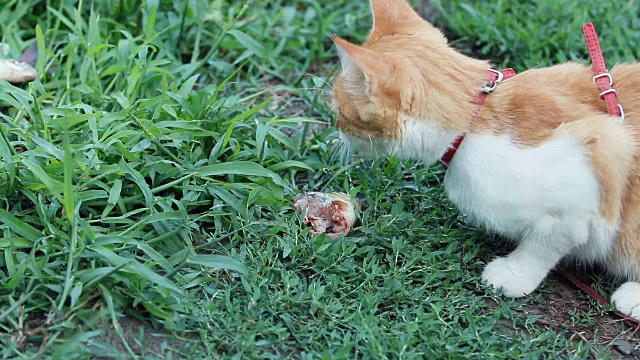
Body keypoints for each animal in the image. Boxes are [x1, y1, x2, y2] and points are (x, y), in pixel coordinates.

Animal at [330, 0, 640, 320]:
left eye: (338, 110)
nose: (334, 128)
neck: (473, 119)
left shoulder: (598, 166)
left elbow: (545, 243)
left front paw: (515, 274)